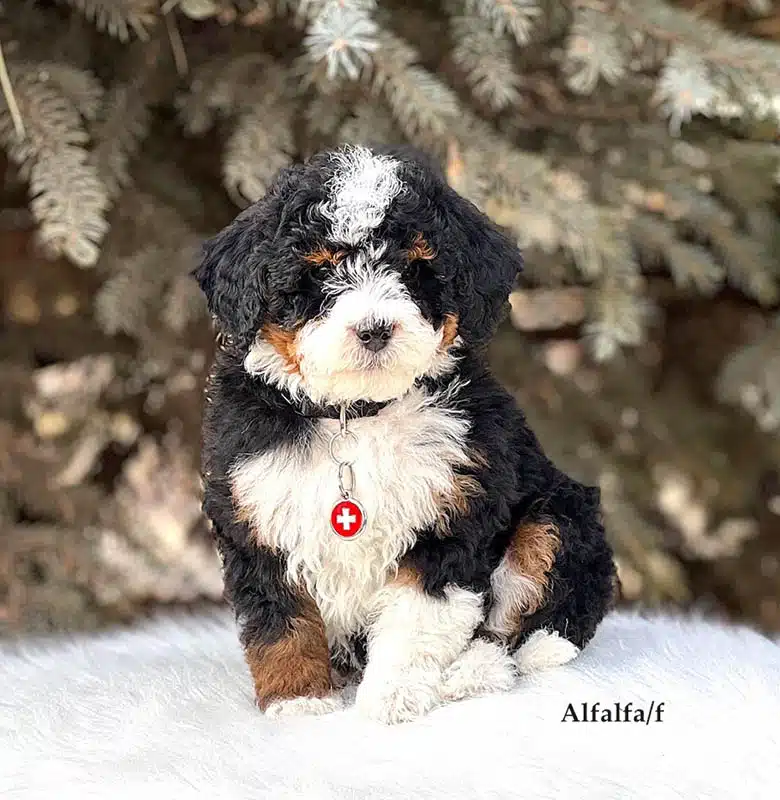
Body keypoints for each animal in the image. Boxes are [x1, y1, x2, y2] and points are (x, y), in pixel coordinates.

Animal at [193, 144, 616, 724]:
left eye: (415, 270)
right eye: (319, 273)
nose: (374, 330)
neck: (355, 417)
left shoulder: (453, 513)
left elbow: (417, 618)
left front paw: (393, 697)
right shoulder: (256, 513)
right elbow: (281, 619)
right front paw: (299, 700)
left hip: (557, 517)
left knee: (530, 628)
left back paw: (472, 672)